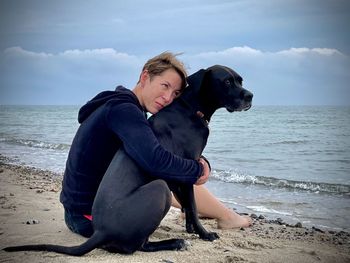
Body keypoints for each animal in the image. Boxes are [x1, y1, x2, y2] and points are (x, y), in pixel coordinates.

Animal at [4, 65, 253, 256]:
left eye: (240, 80)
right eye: (227, 82)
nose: (250, 96)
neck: (190, 109)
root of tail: (101, 231)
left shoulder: (176, 176)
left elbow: (187, 206)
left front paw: (191, 228)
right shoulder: (186, 169)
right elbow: (191, 205)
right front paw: (204, 233)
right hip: (159, 189)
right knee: (137, 247)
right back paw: (174, 243)